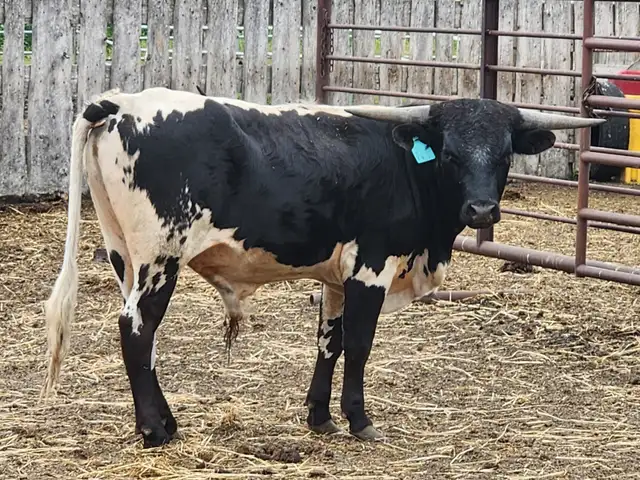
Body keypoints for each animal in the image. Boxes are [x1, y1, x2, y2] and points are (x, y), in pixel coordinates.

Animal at [40, 86, 604, 448]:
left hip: (125, 257)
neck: (405, 167)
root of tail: (122, 102)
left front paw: (319, 418)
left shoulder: (336, 277)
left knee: (145, 337)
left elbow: (328, 343)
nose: (482, 210)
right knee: (136, 330)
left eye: (505, 153)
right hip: (161, 257)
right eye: (450, 153)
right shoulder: (371, 268)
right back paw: (155, 432)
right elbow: (359, 345)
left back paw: (167, 422)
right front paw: (359, 420)